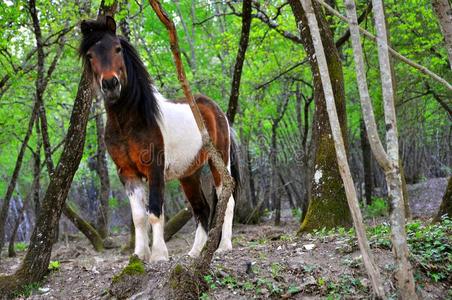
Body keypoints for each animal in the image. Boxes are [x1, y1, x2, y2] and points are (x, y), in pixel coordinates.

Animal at [78, 15, 240, 260]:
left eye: (117, 49)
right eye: (90, 55)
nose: (110, 84)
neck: (129, 122)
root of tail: (217, 110)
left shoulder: (154, 168)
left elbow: (154, 211)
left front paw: (159, 255)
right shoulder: (128, 173)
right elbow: (139, 217)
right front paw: (139, 255)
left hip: (219, 163)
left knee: (227, 200)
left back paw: (224, 246)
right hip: (188, 174)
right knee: (201, 209)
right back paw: (194, 252)